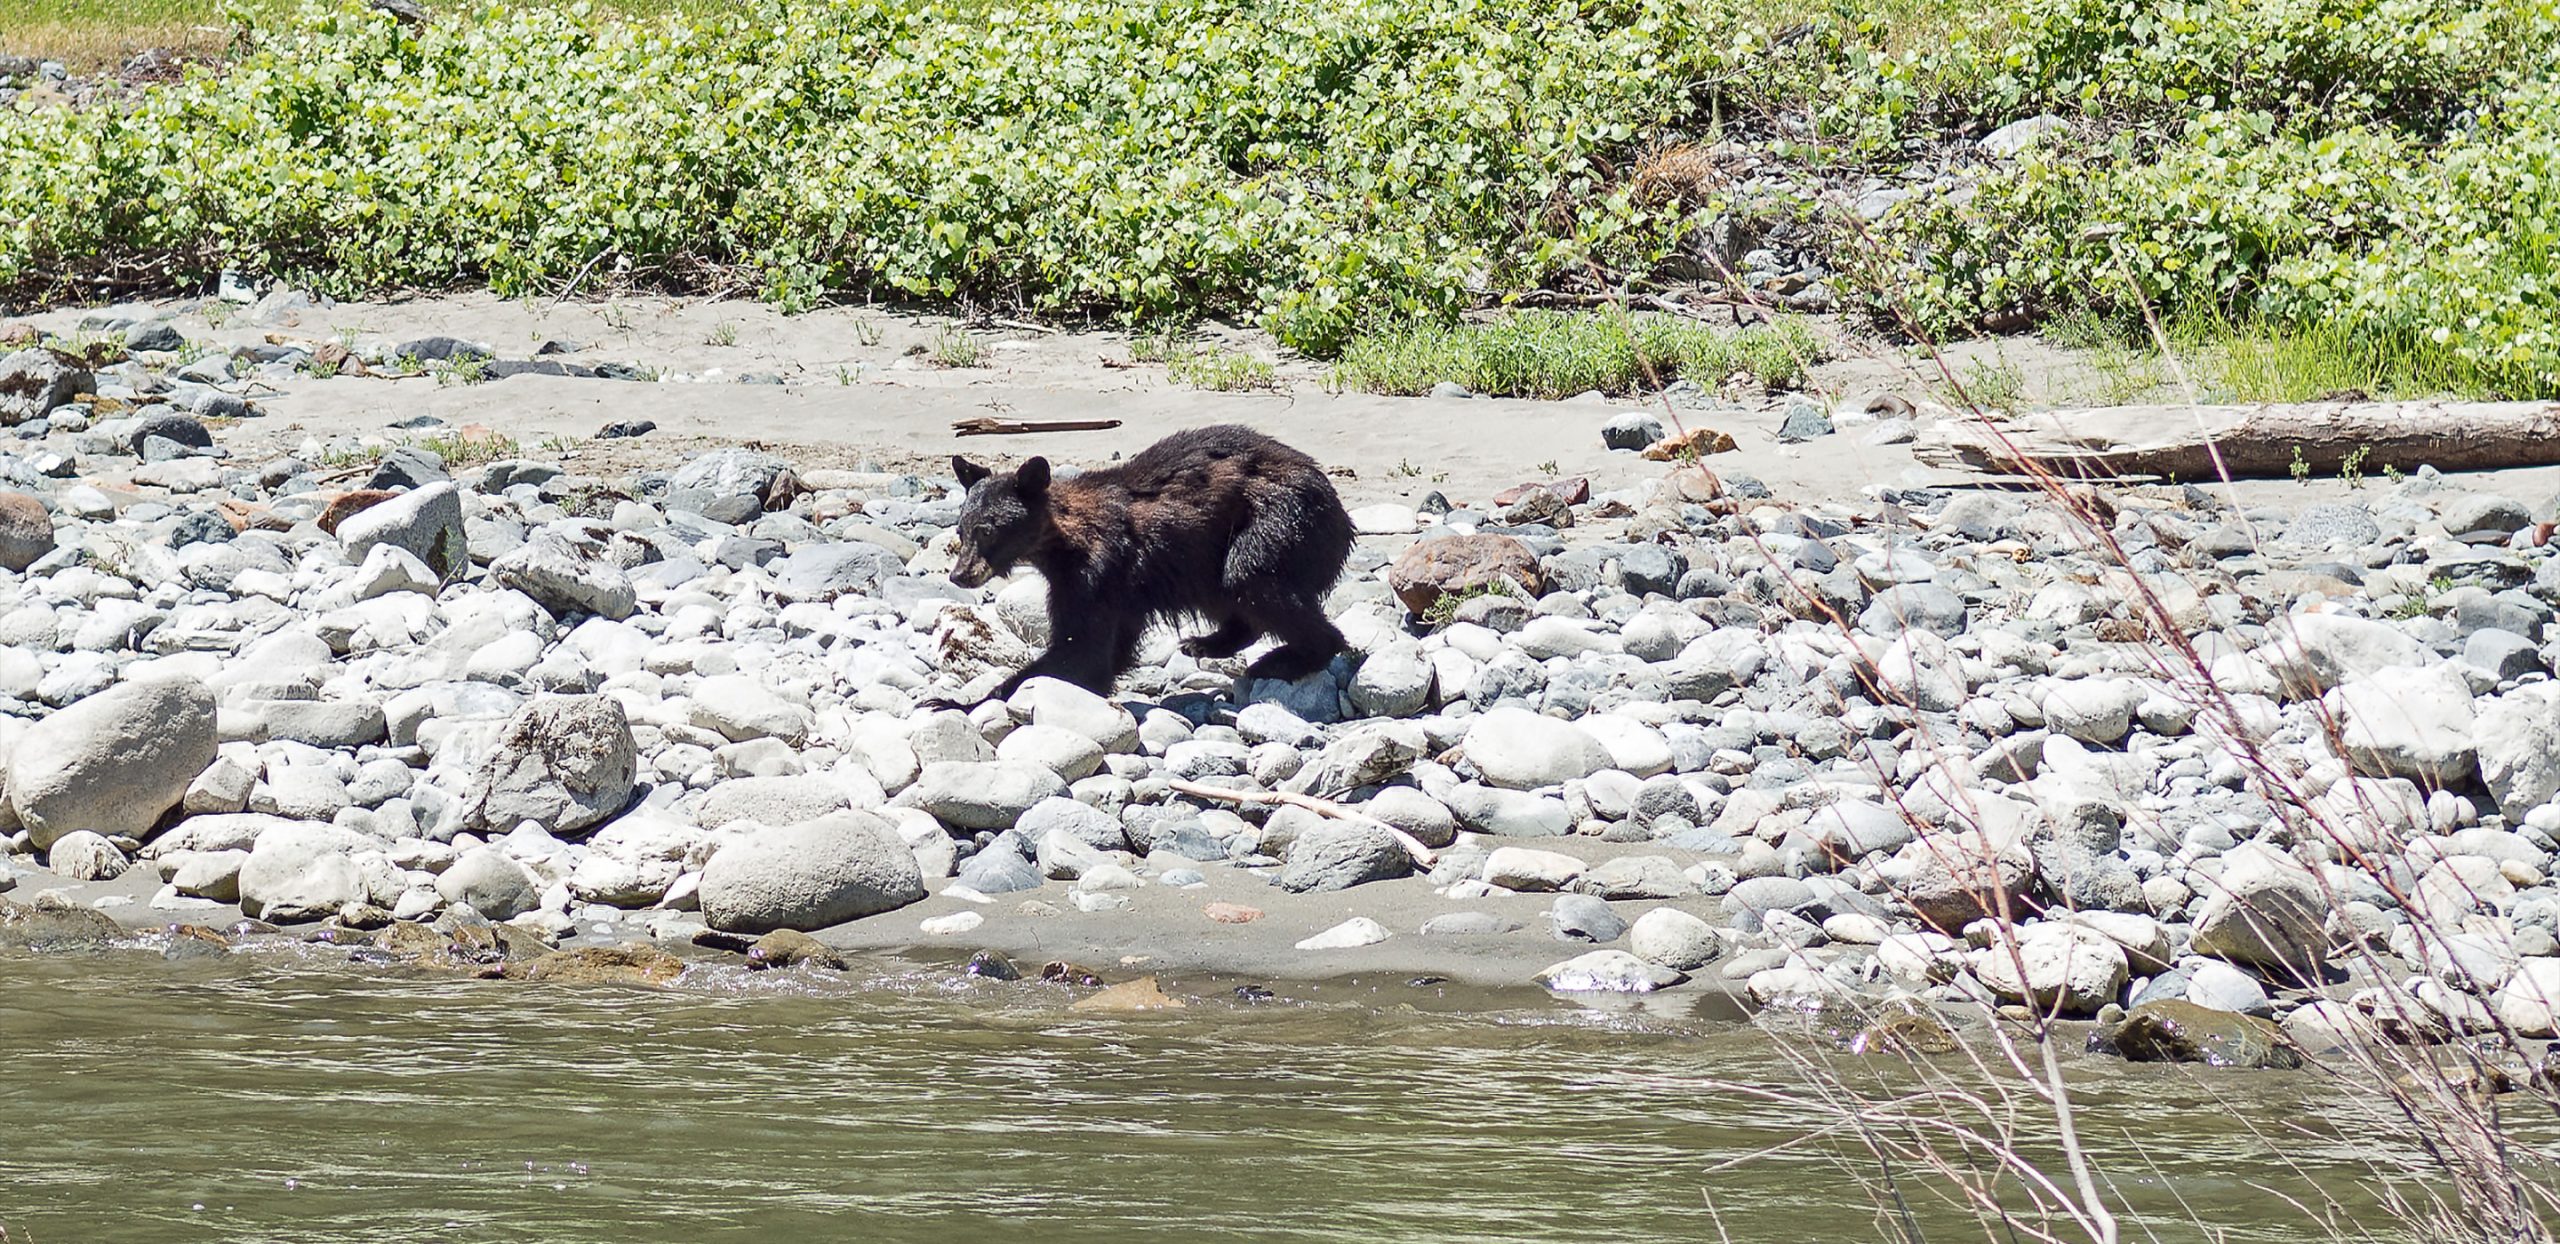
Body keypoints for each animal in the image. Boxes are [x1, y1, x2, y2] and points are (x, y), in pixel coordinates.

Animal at [945, 424, 1354, 699]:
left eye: (987, 530)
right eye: (961, 530)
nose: (959, 575)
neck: (1063, 541)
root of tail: (1341, 512)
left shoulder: (1096, 574)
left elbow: (1083, 653)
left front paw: (960, 702)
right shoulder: (1116, 592)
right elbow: (1106, 652)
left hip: (1278, 520)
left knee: (1250, 578)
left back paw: (1284, 659)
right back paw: (1206, 643)